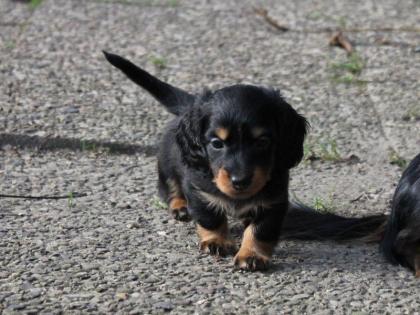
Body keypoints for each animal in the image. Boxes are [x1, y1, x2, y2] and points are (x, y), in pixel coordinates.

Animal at [105, 51, 388, 272]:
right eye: (217, 143)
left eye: (262, 142)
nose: (240, 181)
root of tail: (190, 103)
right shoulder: (199, 190)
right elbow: (210, 217)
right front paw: (217, 241)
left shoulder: (273, 200)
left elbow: (260, 230)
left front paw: (252, 254)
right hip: (167, 163)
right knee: (168, 188)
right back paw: (180, 207)